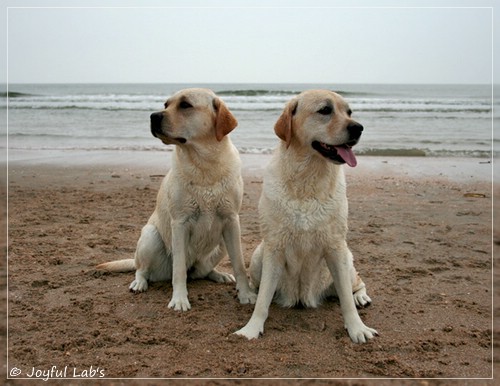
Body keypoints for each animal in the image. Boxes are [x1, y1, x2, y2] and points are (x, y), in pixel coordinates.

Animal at [96, 88, 256, 310]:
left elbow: (240, 264)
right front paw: (179, 299)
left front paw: (246, 294)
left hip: (222, 244)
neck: (204, 165)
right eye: (166, 104)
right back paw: (139, 283)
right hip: (150, 236)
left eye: (185, 105)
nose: (153, 116)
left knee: (201, 272)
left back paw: (218, 275)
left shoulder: (232, 220)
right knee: (142, 269)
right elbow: (178, 270)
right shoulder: (180, 223)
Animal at [236, 89, 376, 342]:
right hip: (259, 257)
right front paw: (251, 328)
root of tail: (301, 298)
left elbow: (346, 301)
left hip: (346, 260)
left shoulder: (335, 247)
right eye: (325, 110)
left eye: (349, 112)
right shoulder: (274, 247)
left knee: (356, 284)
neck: (307, 178)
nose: (358, 128)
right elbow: (262, 301)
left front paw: (357, 328)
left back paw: (361, 296)